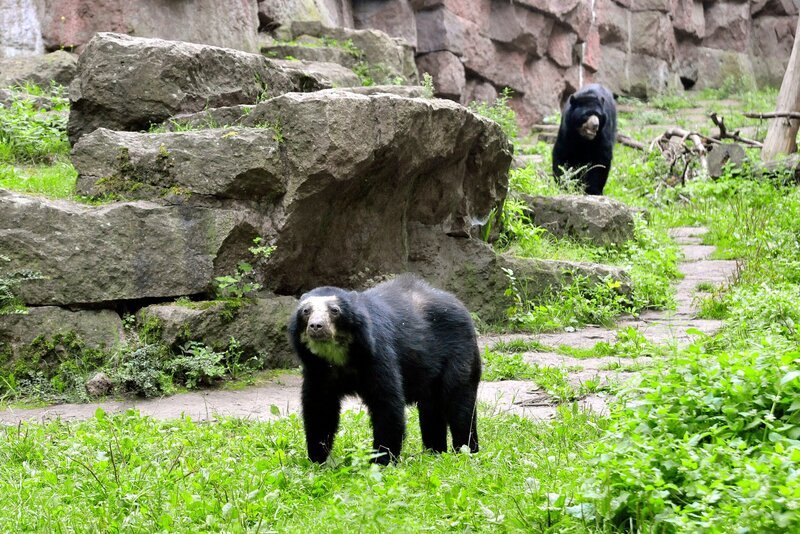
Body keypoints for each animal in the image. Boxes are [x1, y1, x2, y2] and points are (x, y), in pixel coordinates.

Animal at [288, 274, 481, 465]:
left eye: (334, 310)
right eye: (306, 311)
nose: (316, 326)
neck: (338, 355)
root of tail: (459, 303)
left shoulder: (377, 355)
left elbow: (386, 403)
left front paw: (382, 460)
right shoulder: (317, 369)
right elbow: (320, 407)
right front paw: (317, 459)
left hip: (459, 353)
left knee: (460, 403)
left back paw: (465, 451)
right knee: (431, 409)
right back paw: (435, 452)